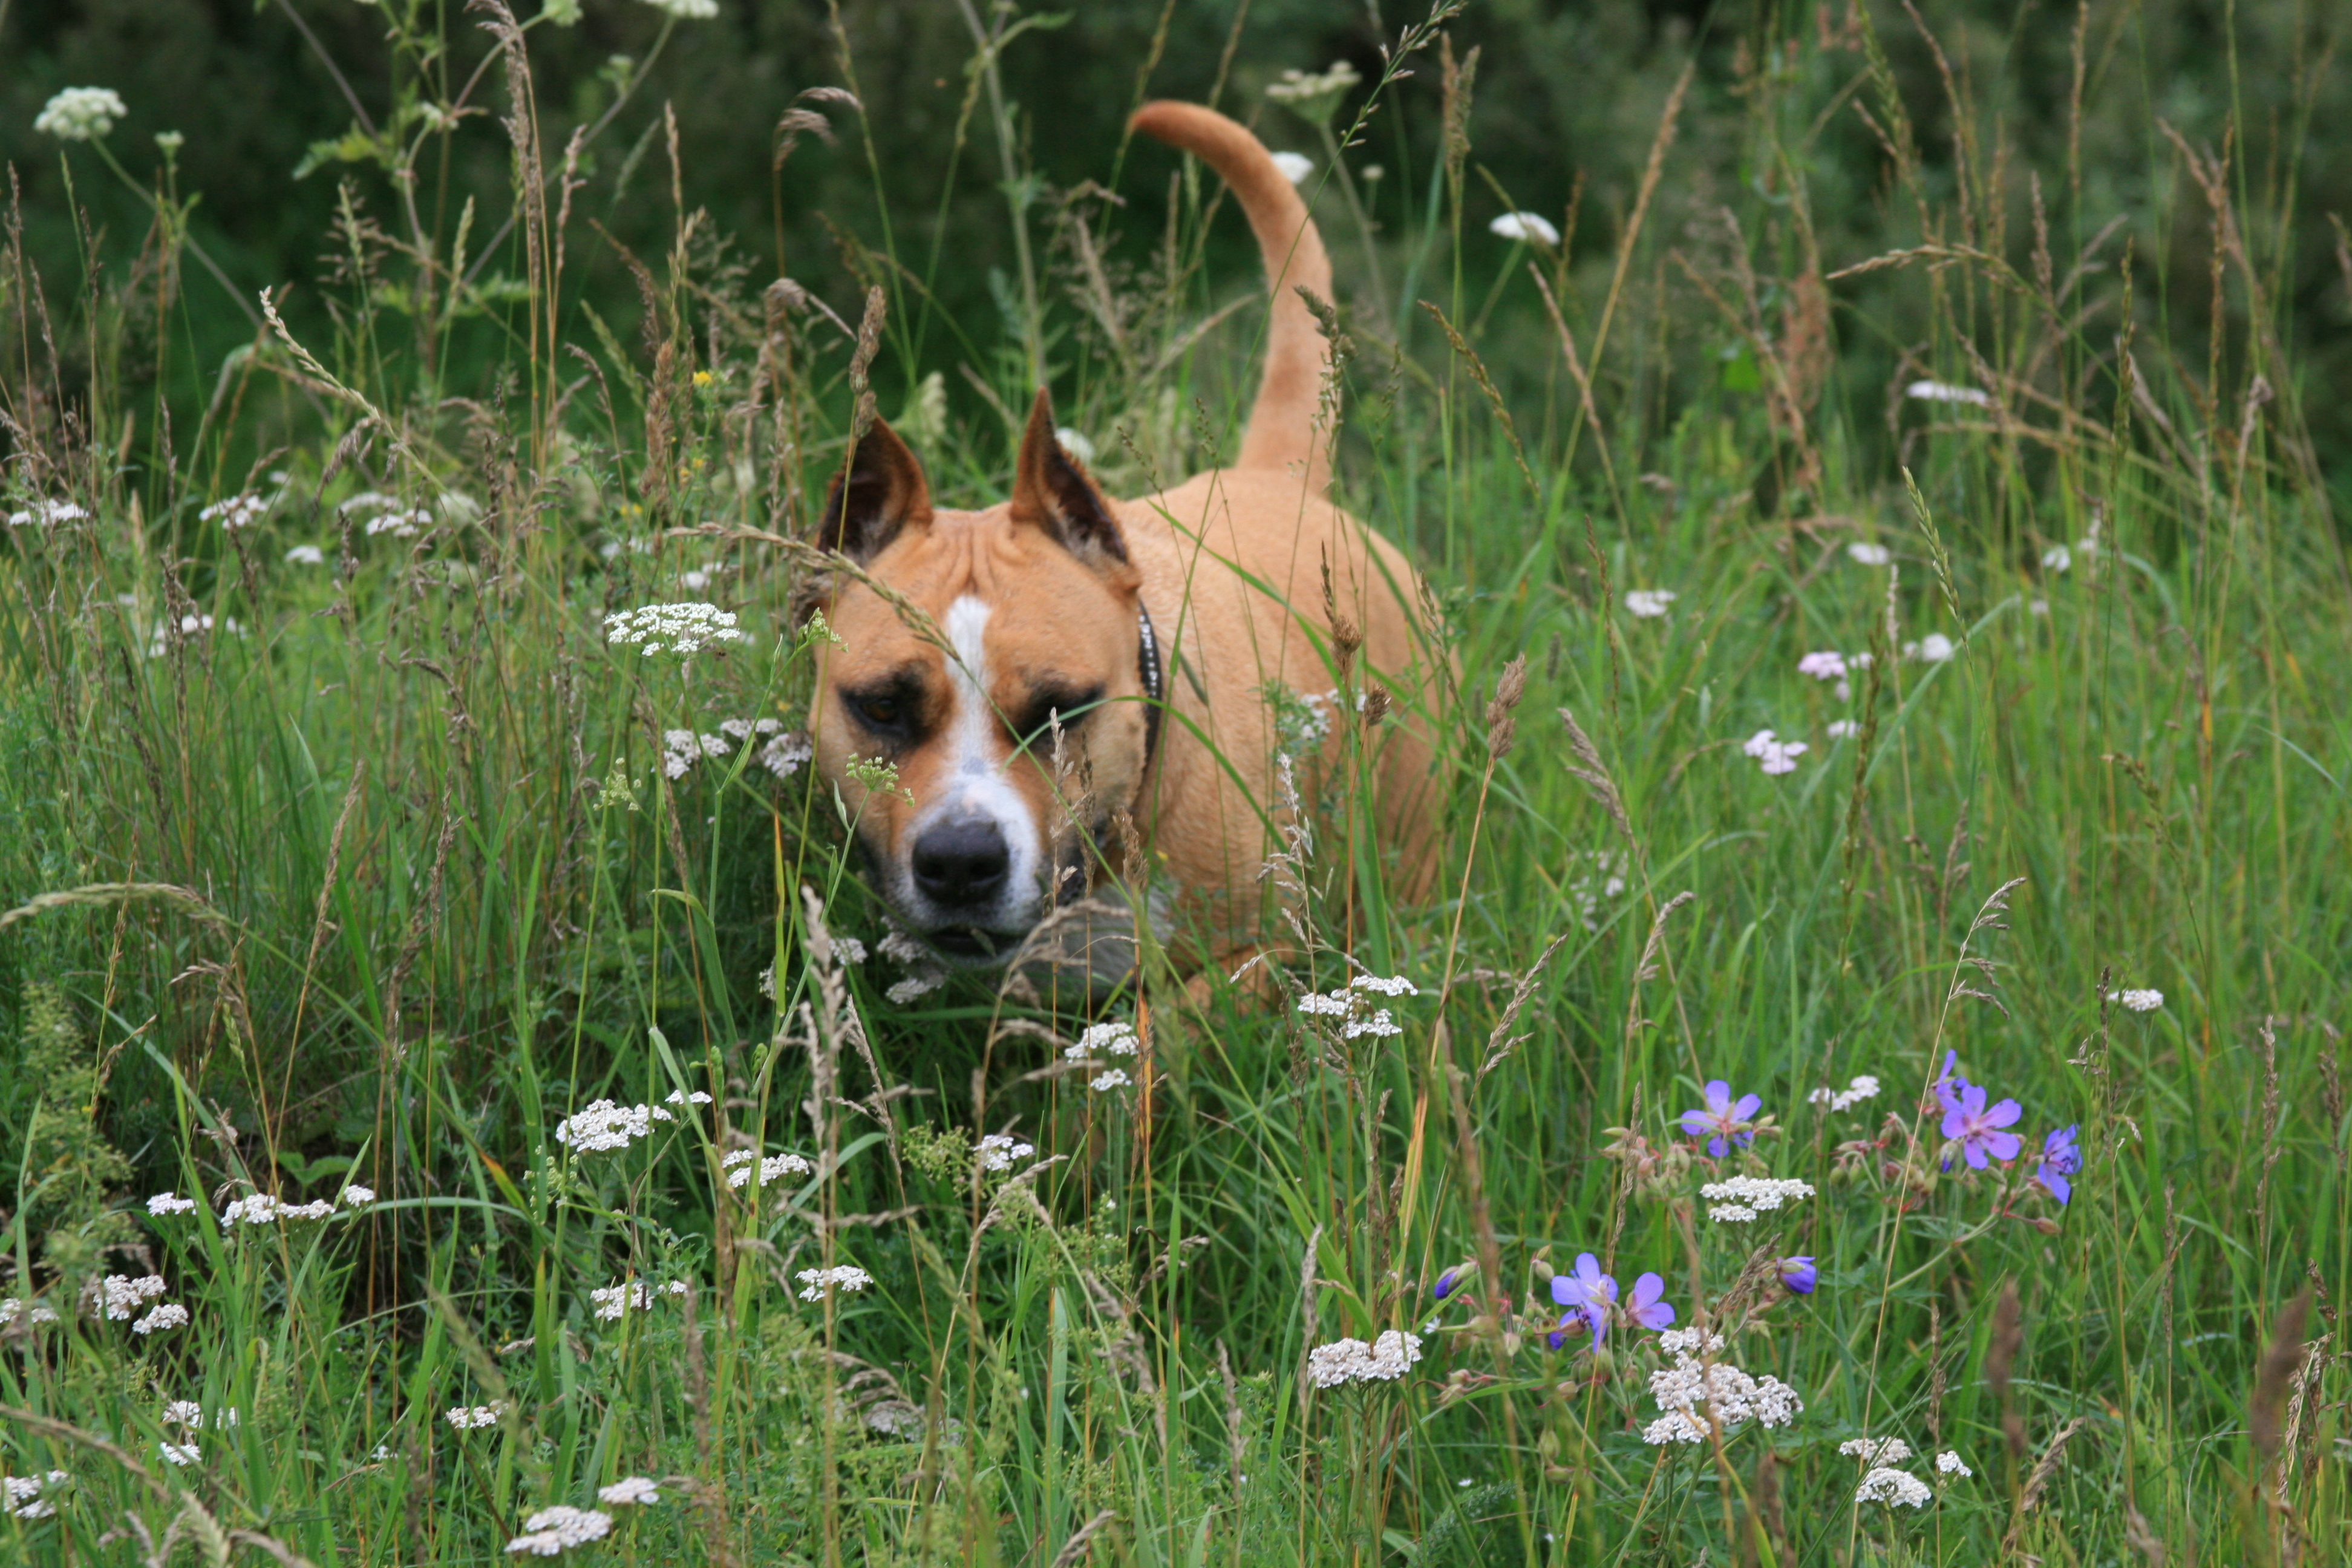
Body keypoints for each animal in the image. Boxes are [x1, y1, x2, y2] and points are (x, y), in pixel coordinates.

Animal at [804, 98, 1429, 987]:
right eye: (883, 707)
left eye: (1062, 710)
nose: (960, 861)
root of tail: (1280, 480)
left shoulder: (1265, 953)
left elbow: (1175, 1018)